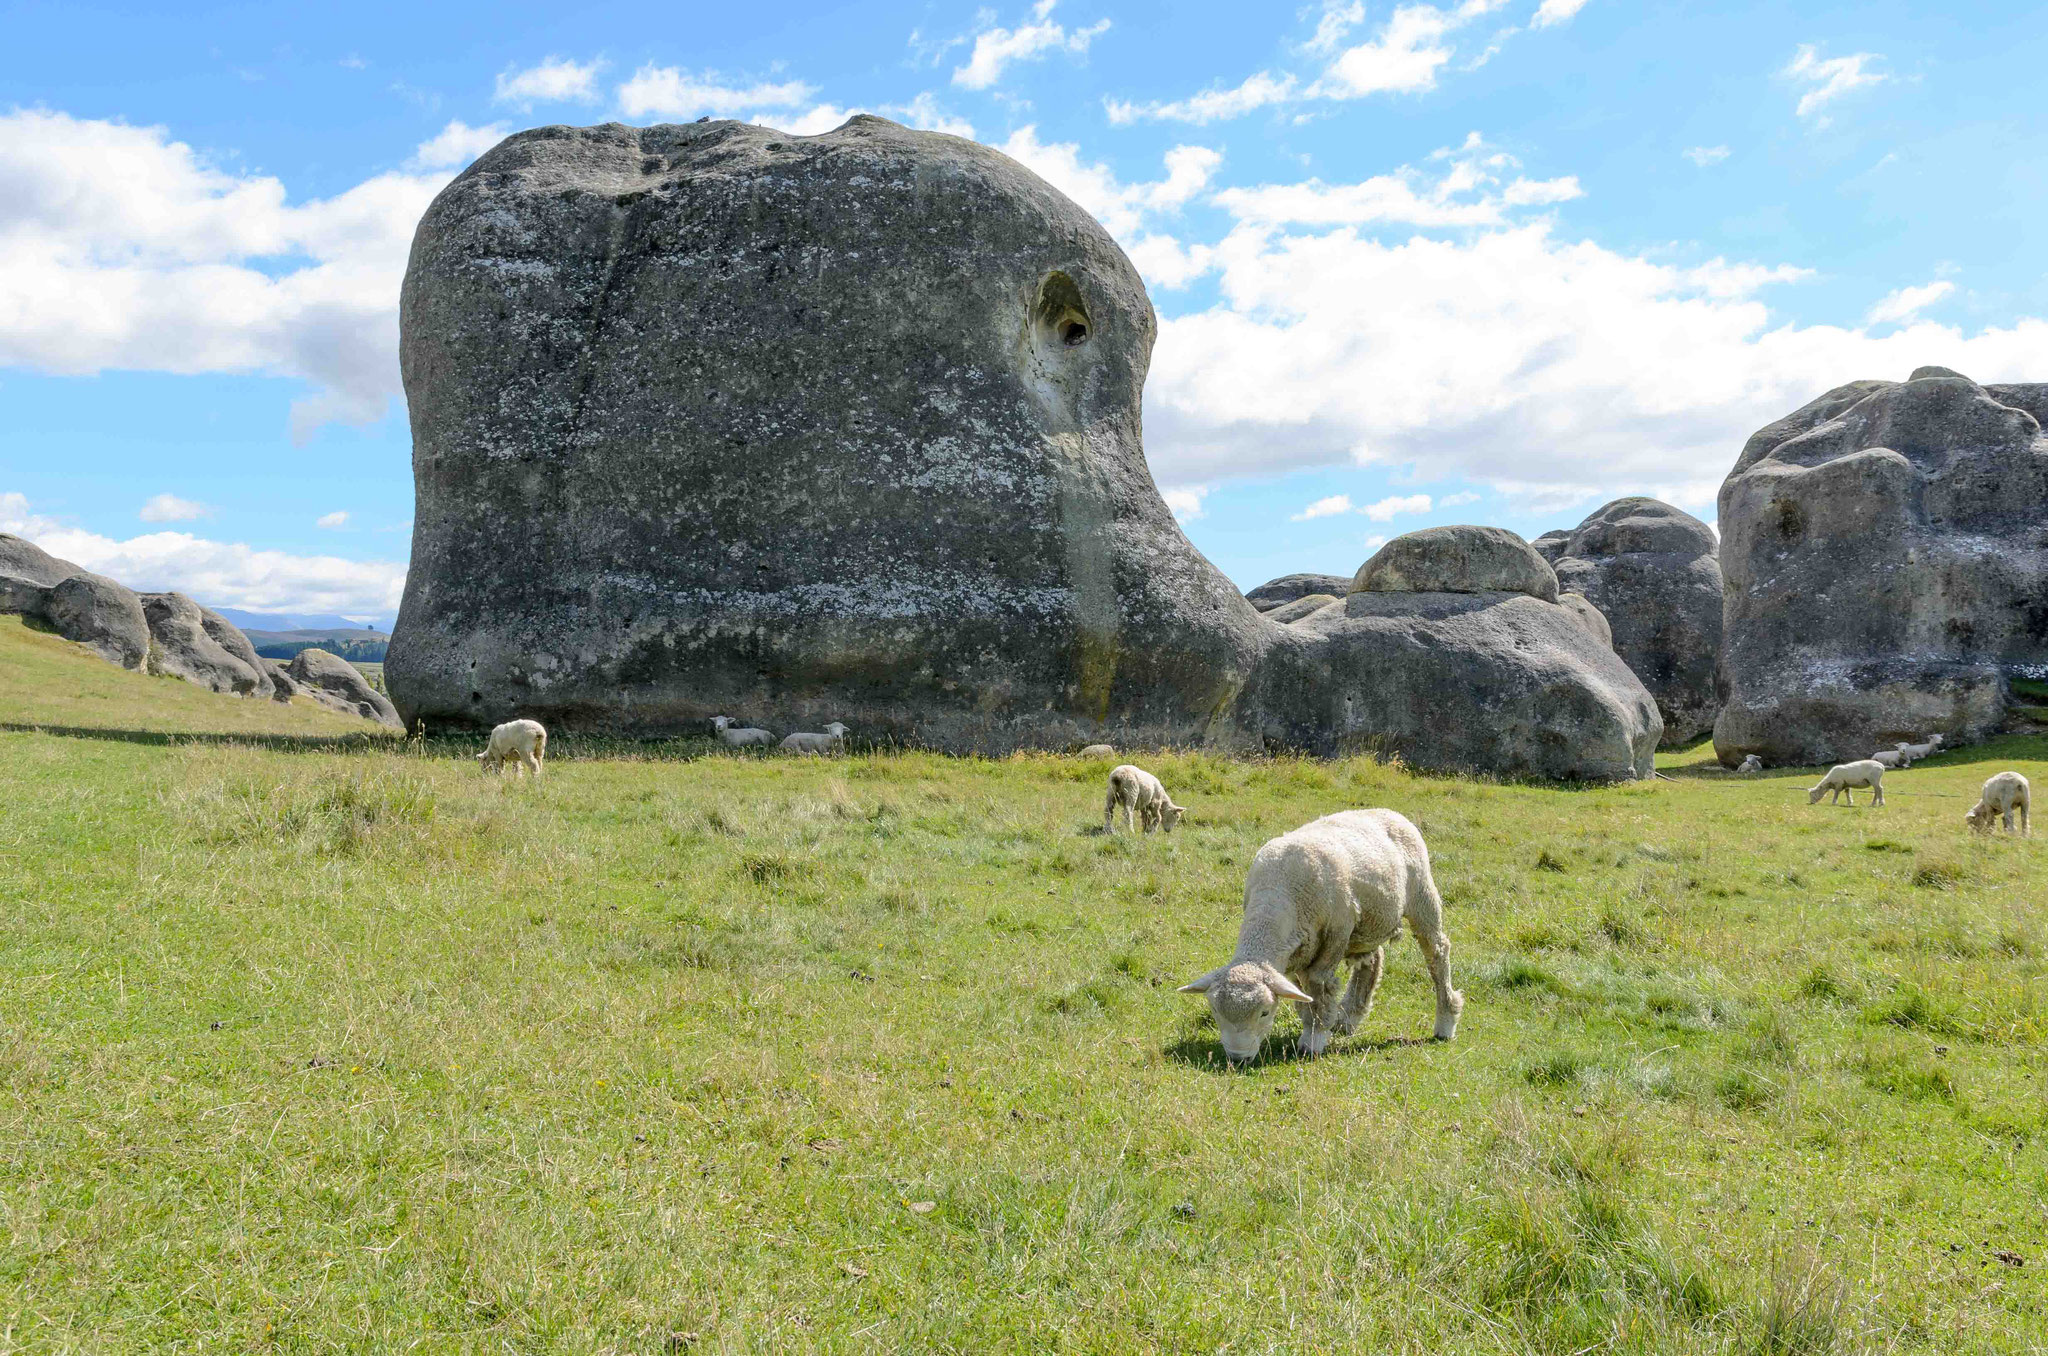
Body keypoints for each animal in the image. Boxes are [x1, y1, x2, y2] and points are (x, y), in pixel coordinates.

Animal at [1179, 811, 1466, 1065]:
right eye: (1215, 1012)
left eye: (1264, 1012)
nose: (1238, 1059)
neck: (1278, 891)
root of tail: (1392, 813)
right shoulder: (1297, 952)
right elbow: (1302, 992)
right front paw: (1313, 1024)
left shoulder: (1335, 934)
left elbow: (1319, 987)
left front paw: (1314, 1040)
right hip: (1366, 923)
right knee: (1372, 960)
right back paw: (1349, 1018)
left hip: (1421, 897)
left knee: (1437, 953)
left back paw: (1445, 1021)